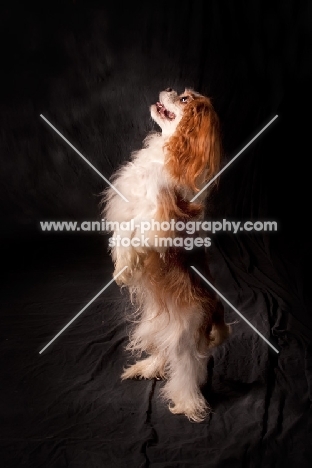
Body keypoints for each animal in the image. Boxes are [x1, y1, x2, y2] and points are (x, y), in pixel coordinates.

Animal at [101, 87, 230, 420]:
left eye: (185, 100)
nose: (170, 90)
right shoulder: (127, 204)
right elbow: (122, 231)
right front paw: (120, 263)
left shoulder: (158, 219)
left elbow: (134, 233)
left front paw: (124, 266)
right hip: (156, 324)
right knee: (163, 353)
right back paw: (147, 368)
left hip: (185, 335)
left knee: (188, 369)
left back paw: (188, 404)